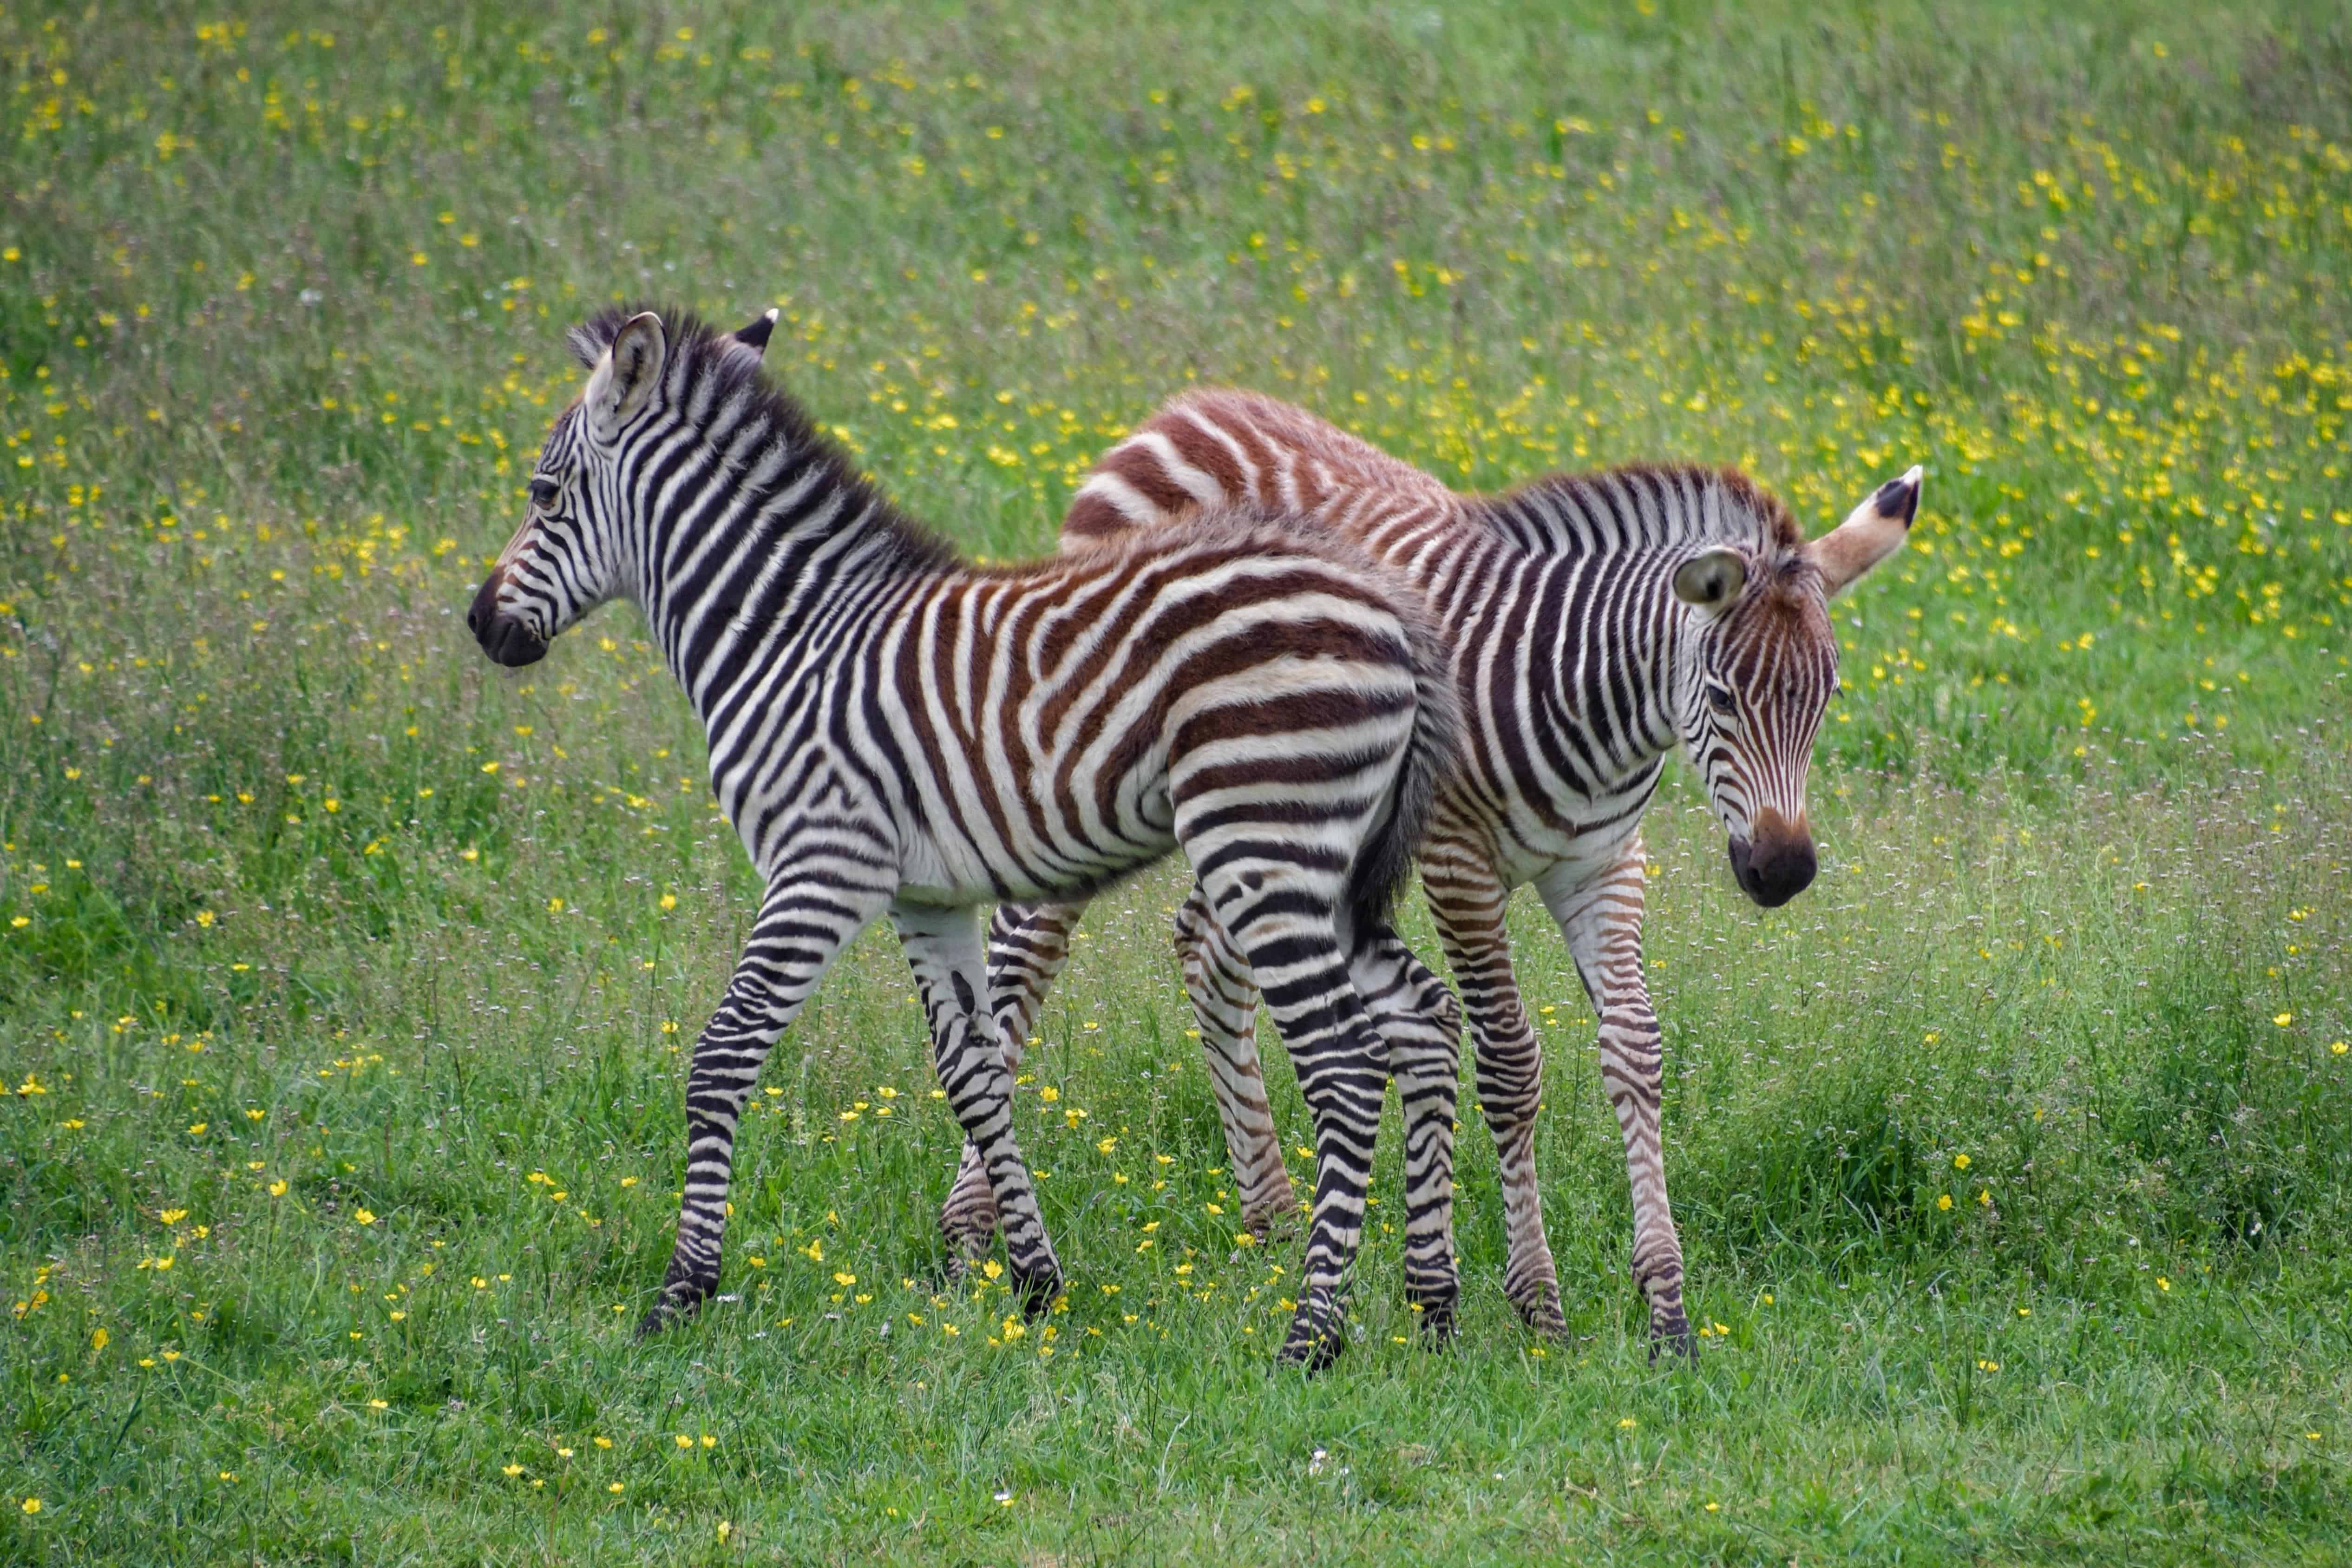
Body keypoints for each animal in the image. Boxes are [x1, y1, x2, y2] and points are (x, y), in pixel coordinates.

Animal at [459, 303, 1448, 1363]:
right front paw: (1034, 1282)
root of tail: (1391, 610)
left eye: (544, 492)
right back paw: (1433, 1308)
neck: (786, 640)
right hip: (1327, 864)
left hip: (1262, 844)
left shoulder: (821, 866)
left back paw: (1311, 1335)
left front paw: (682, 1291)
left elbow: (723, 1053)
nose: (480, 625)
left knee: (1346, 1064)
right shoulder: (925, 897)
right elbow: (974, 1076)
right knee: (1423, 1020)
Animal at [945, 385, 1919, 1354]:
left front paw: (1666, 1310)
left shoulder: (1602, 865)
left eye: (1826, 697)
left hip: (1265, 801)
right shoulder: (1460, 865)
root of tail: (1179, 410)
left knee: (1205, 949)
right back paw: (971, 1235)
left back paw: (1270, 1216)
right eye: (1719, 696)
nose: (1781, 871)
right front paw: (1538, 1306)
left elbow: (1634, 1050)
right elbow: (1511, 1065)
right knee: (1023, 961)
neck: (1593, 705)